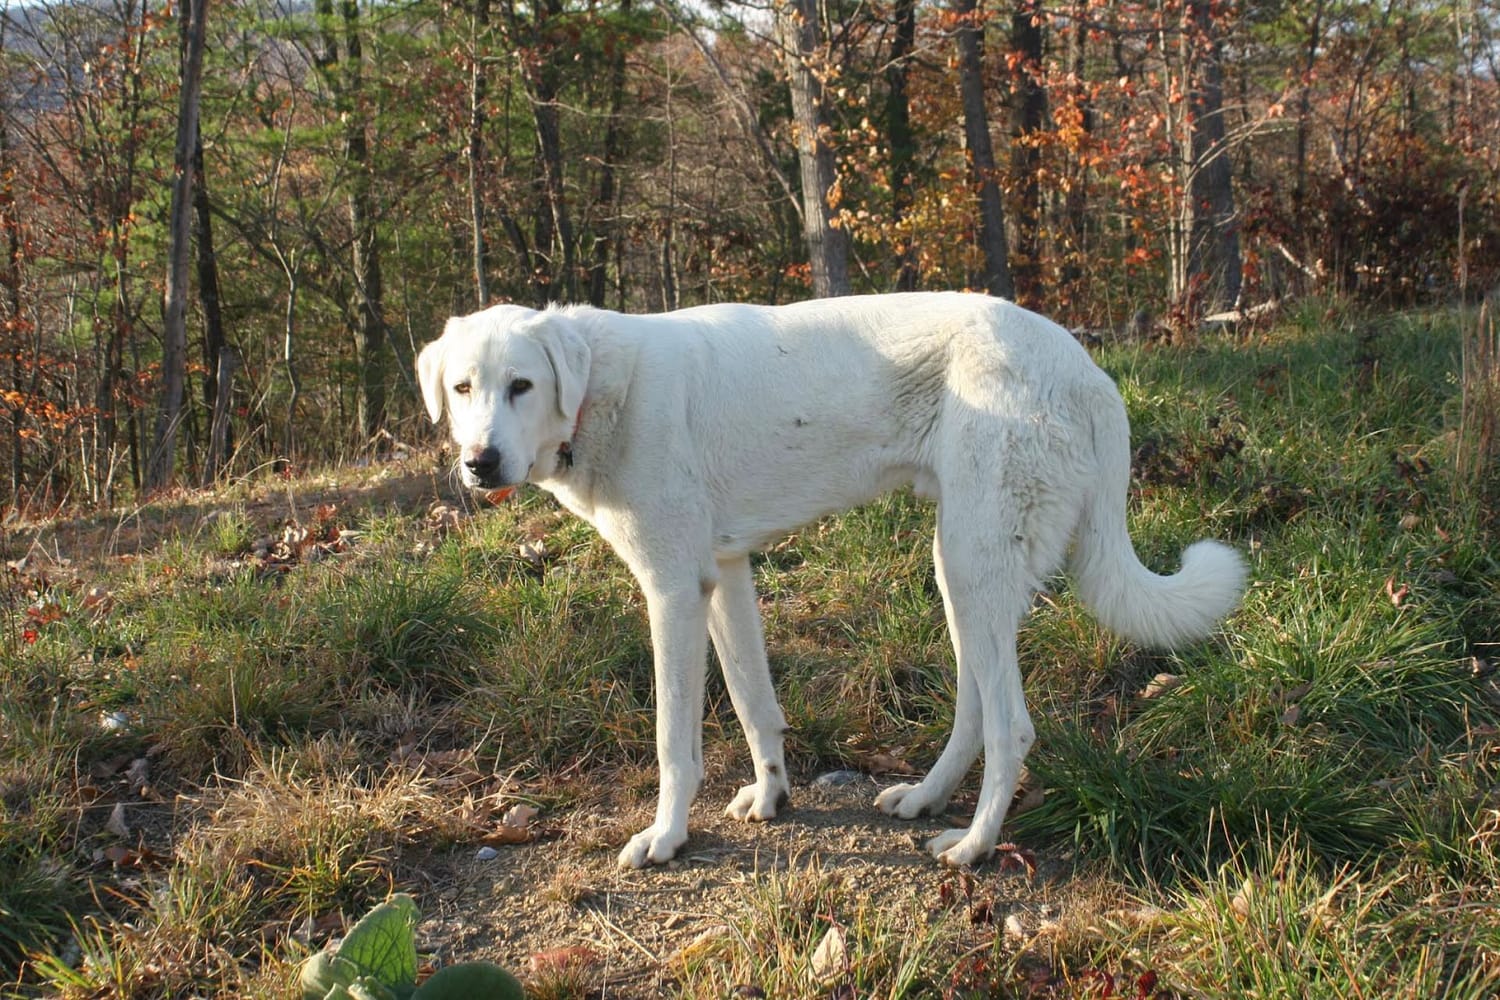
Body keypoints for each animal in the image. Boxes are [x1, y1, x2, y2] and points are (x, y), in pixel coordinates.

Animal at [417, 289, 1248, 869]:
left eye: (522, 385)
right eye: (462, 389)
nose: (480, 463)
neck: (598, 389)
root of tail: (1088, 371)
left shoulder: (672, 594)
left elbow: (674, 742)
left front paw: (667, 837)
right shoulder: (724, 578)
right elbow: (755, 705)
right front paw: (771, 795)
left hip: (974, 562)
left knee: (1011, 726)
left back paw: (974, 847)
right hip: (961, 570)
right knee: (976, 709)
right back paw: (926, 799)